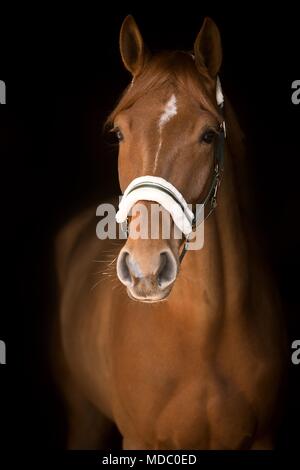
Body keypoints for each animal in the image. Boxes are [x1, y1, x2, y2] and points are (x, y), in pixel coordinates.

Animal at [54, 13, 286, 448]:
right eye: (118, 133)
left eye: (209, 134)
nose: (145, 269)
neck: (204, 332)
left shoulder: (262, 438)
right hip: (84, 415)